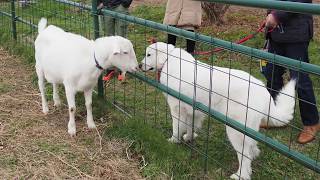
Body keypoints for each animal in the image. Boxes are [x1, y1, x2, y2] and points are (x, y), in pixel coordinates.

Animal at [141, 41, 296, 179]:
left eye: (148, 55)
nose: (140, 65)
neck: (169, 59)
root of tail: (263, 89)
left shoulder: (176, 108)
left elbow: (177, 127)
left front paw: (174, 140)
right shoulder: (192, 111)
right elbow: (190, 127)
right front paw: (189, 137)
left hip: (235, 131)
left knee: (244, 156)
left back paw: (240, 175)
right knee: (252, 148)